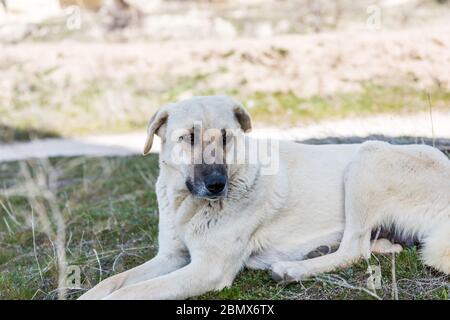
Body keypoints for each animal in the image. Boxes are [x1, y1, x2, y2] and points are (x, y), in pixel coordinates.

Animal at [79, 95, 448, 300]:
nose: (216, 184)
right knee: (372, 247)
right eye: (189, 137)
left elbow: (129, 292)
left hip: (367, 159)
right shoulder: (171, 257)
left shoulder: (208, 270)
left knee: (354, 248)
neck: (188, 203)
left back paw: (292, 269)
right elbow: (113, 282)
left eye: (225, 137)